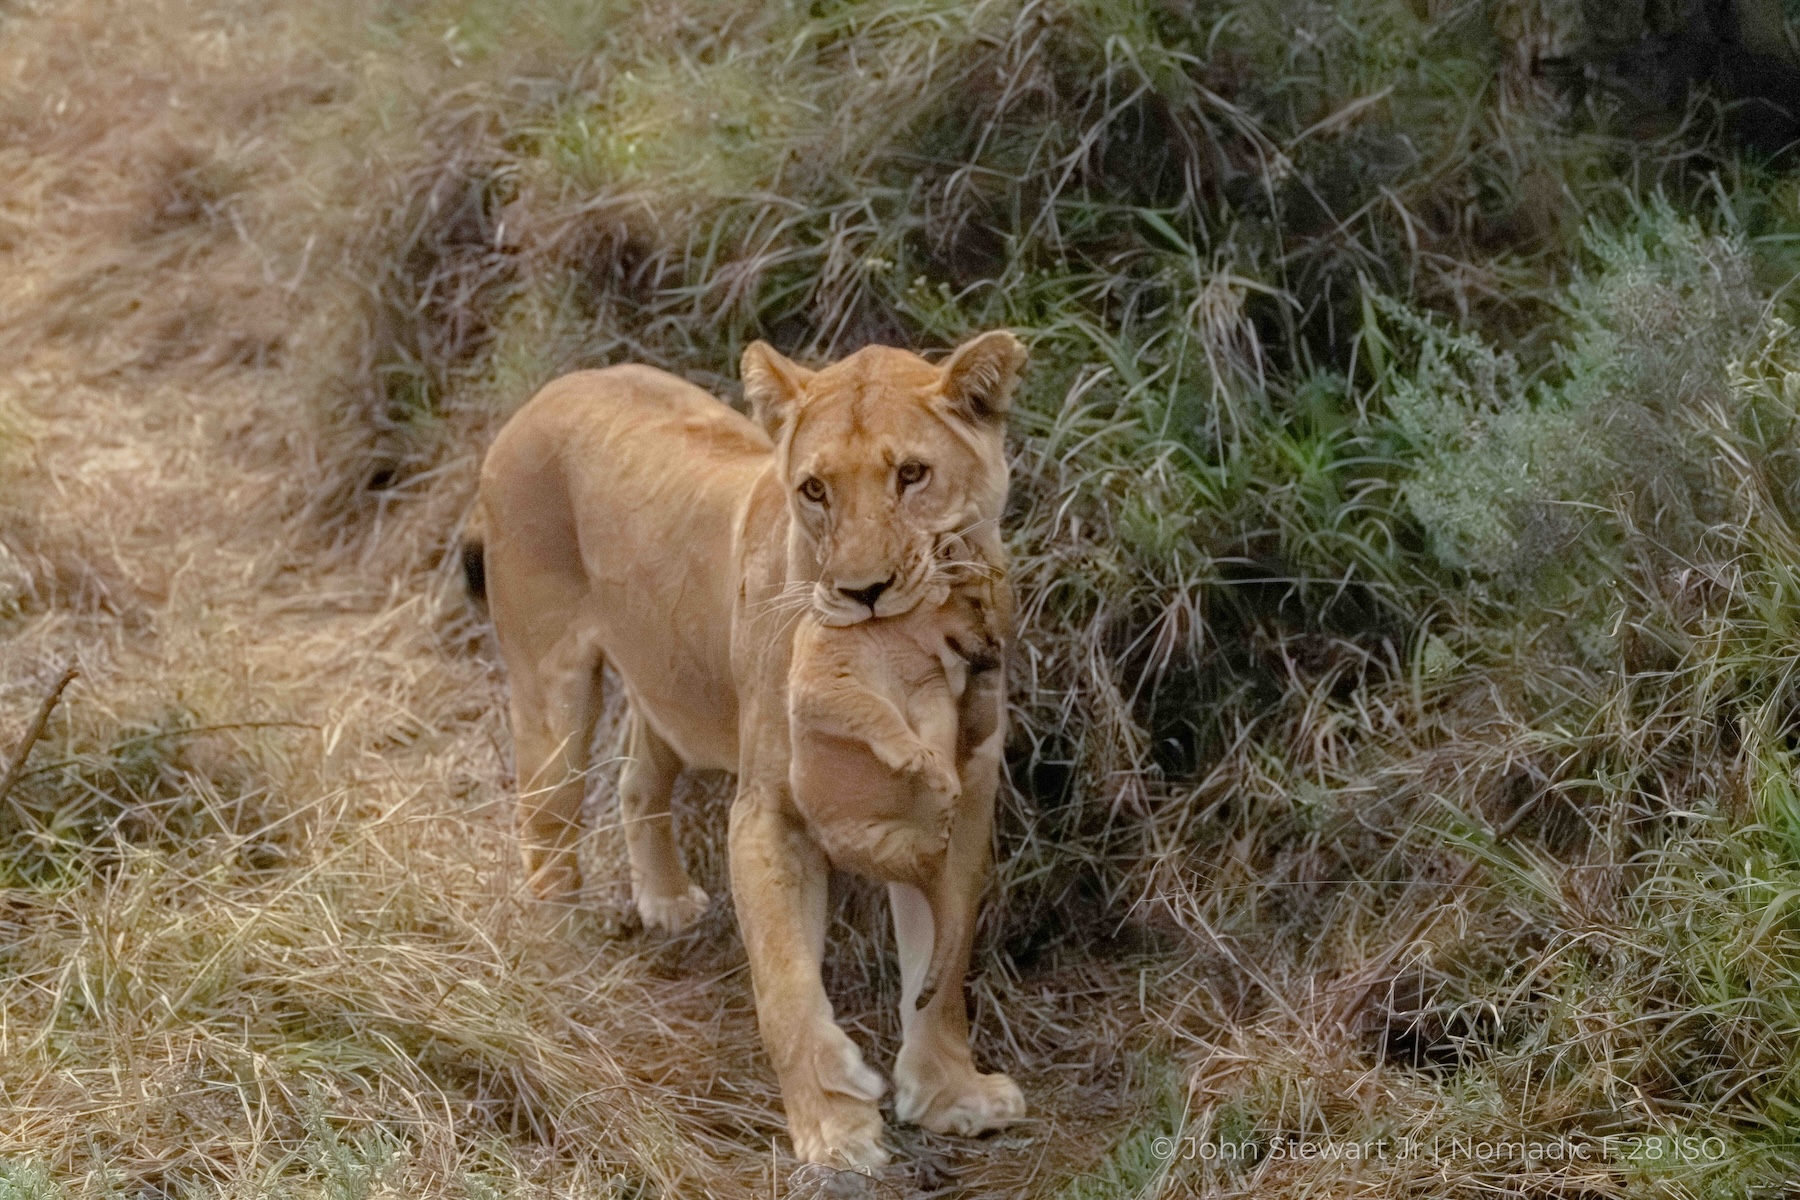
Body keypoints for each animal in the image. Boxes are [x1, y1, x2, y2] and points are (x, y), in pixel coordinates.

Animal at [787, 568, 1008, 1015]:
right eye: (977, 604)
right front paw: (914, 758)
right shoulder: (820, 684)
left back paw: (945, 806)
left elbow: (940, 729)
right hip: (872, 844)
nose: (999, 645)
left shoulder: (929, 689)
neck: (897, 637)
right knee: (927, 863)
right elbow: (876, 710)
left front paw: (939, 770)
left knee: (940, 877)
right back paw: (938, 822)